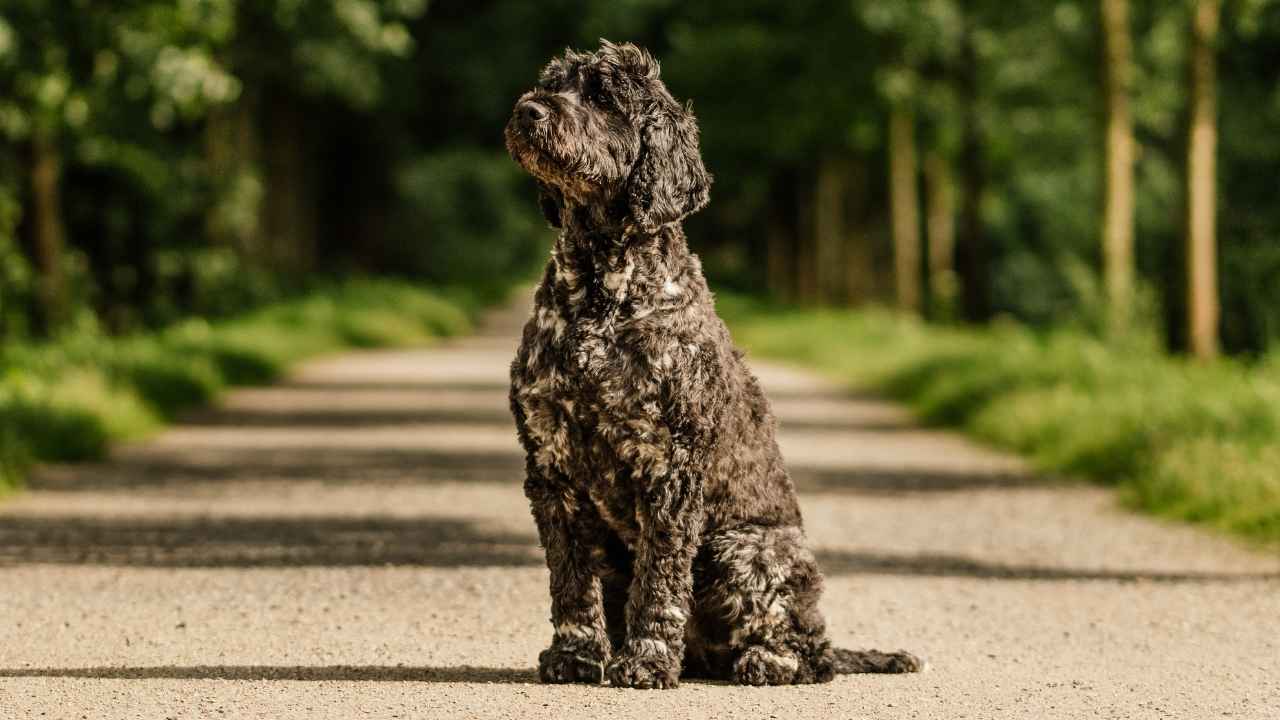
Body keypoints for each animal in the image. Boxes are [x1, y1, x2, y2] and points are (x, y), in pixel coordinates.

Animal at [499, 40, 921, 691]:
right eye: (552, 83)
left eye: (603, 96)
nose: (529, 111)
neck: (600, 293)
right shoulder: (551, 467)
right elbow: (569, 580)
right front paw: (575, 655)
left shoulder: (671, 468)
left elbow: (660, 580)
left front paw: (646, 659)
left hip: (746, 547)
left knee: (810, 654)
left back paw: (763, 661)